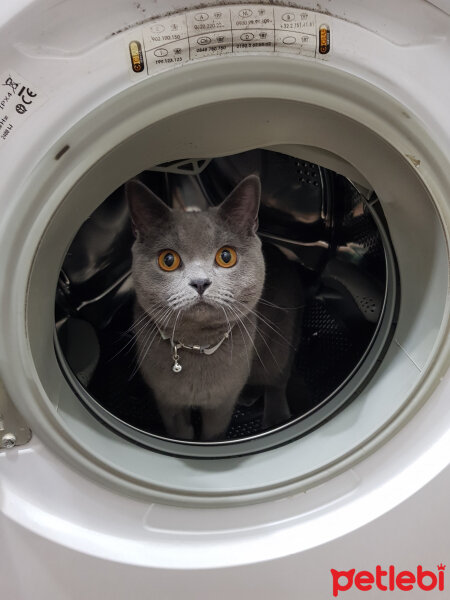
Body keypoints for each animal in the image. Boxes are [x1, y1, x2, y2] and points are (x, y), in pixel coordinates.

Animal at [126, 175, 302, 440]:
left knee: (276, 380)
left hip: (281, 341)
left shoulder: (221, 403)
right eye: (168, 260)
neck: (197, 345)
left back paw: (276, 417)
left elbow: (214, 433)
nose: (200, 282)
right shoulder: (167, 401)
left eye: (226, 256)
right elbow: (180, 431)